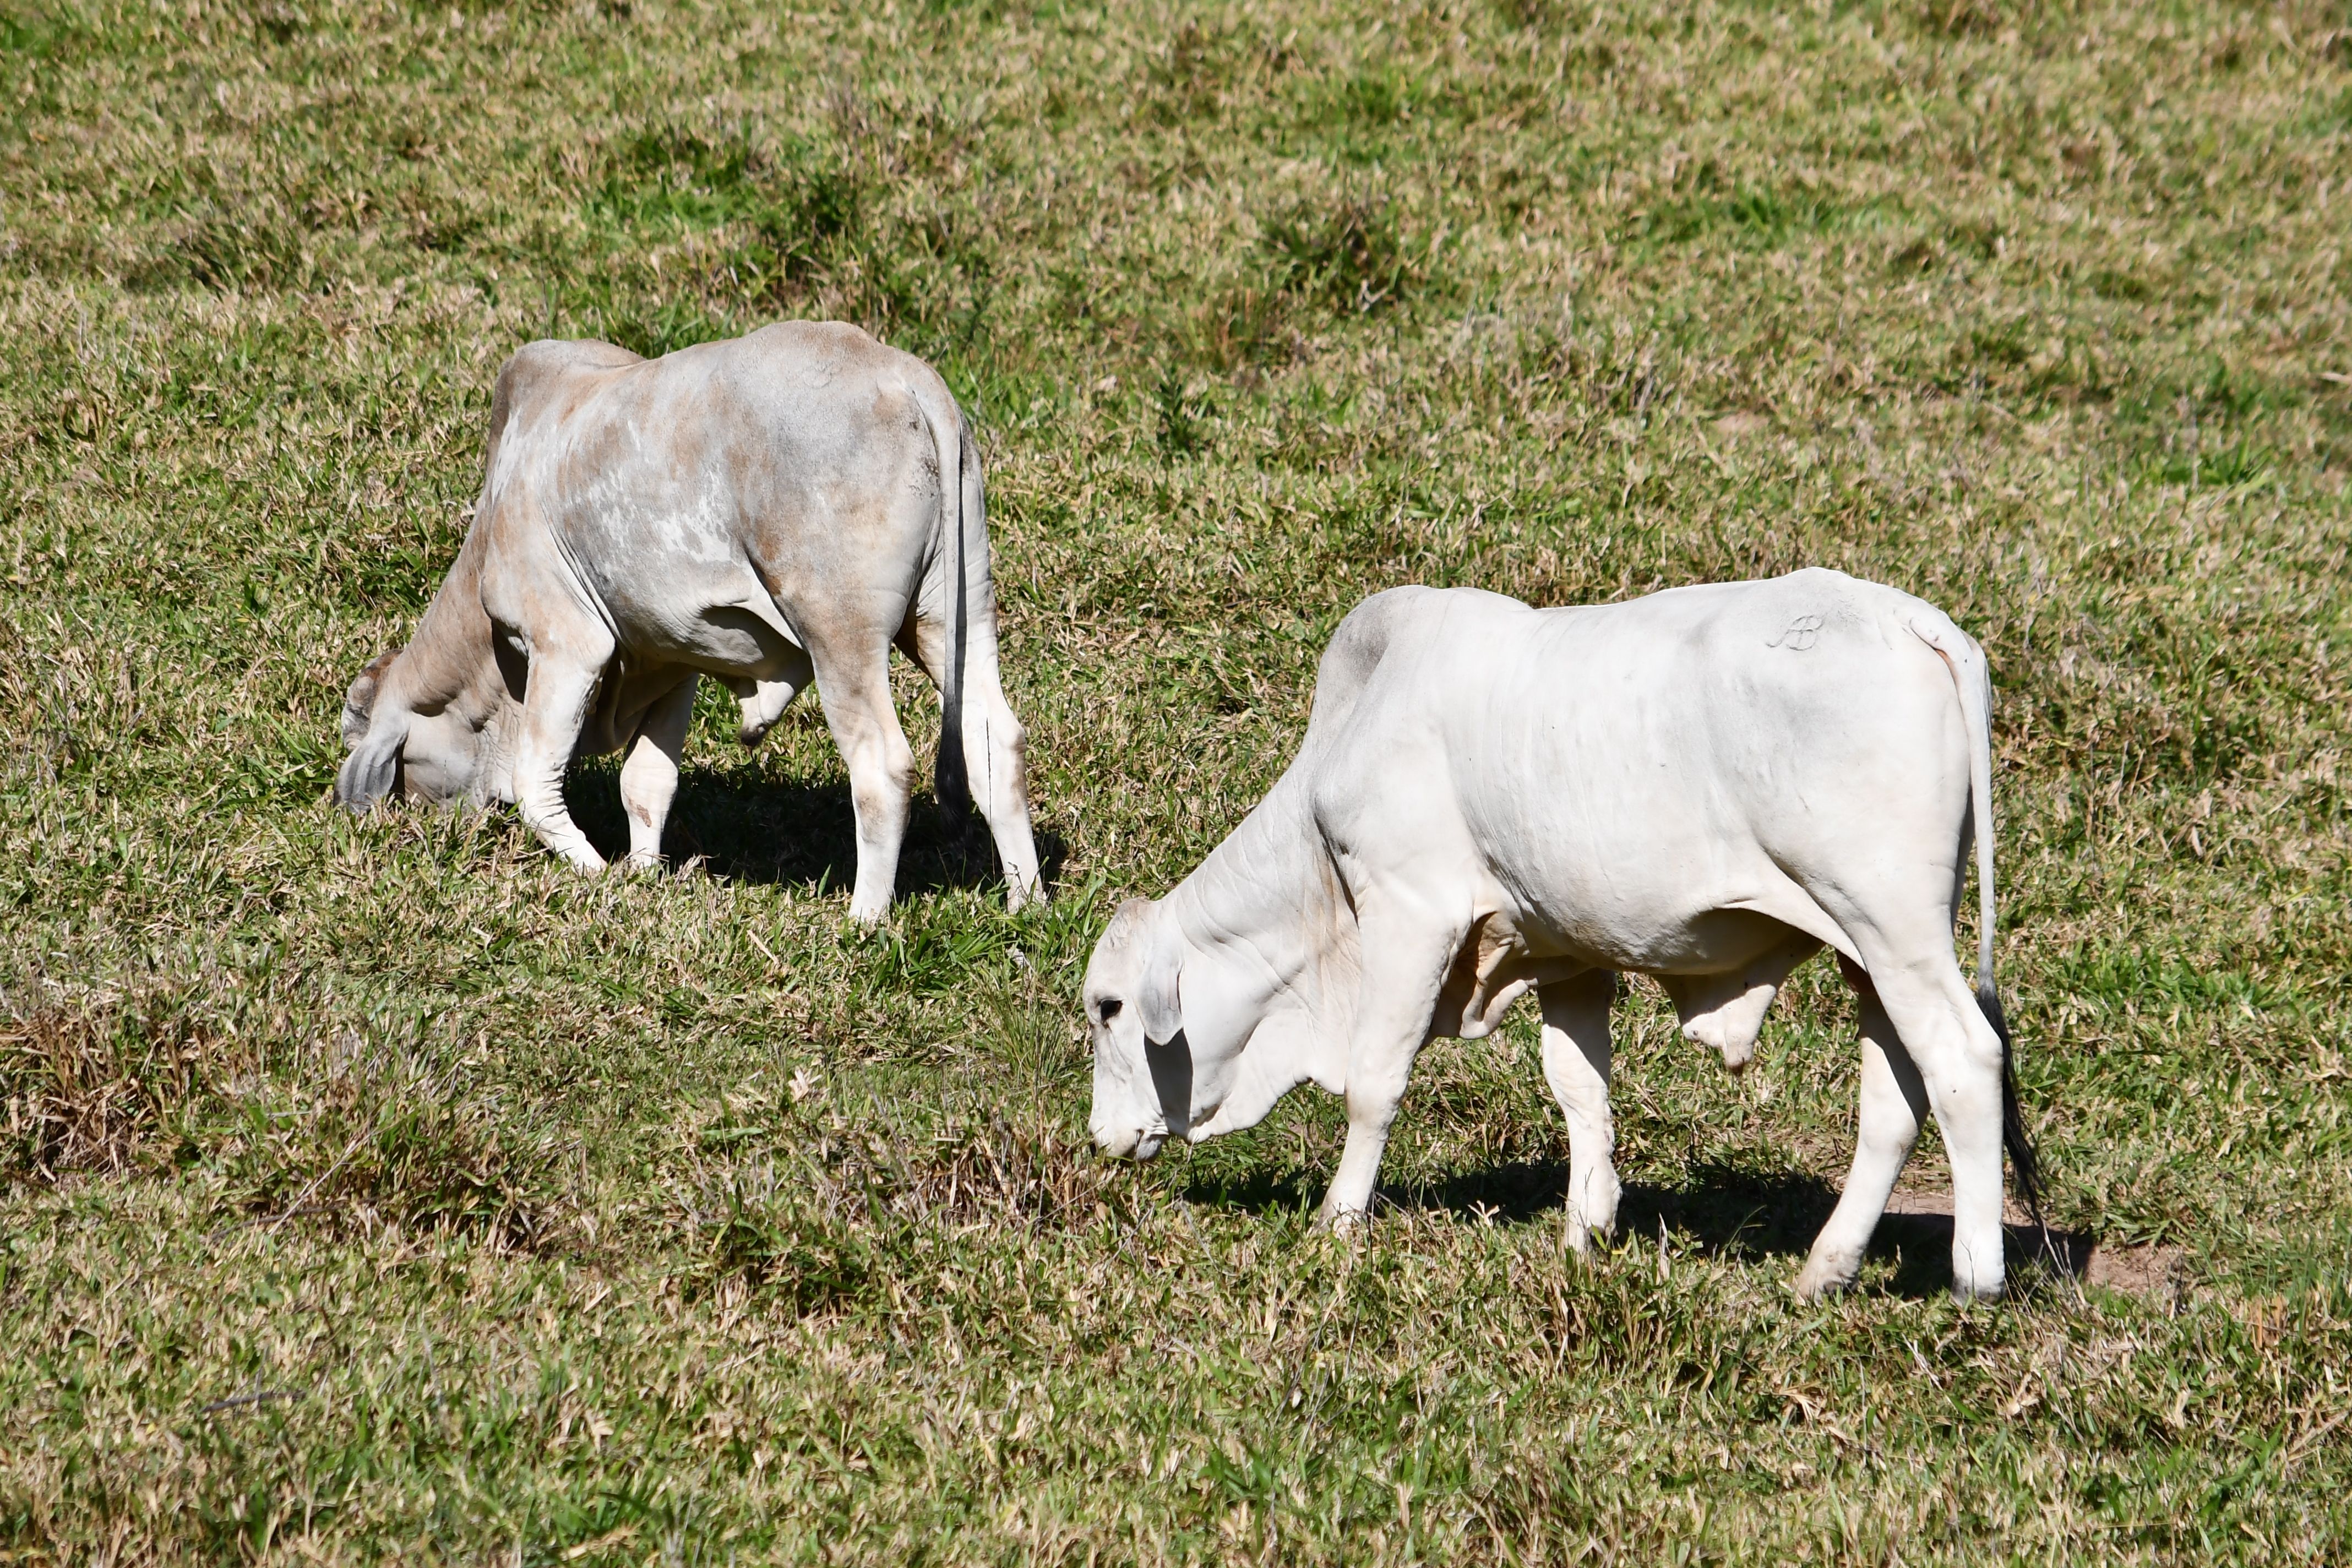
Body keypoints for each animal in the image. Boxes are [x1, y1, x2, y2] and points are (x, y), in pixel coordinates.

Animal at [335, 322, 1044, 923]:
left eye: (398, 759)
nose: (430, 828)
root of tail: (905, 376)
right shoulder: (671, 658)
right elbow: (647, 782)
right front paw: (643, 874)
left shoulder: (566, 641)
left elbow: (537, 782)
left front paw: (600, 874)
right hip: (955, 614)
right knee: (994, 740)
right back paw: (1027, 903)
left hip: (841, 630)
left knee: (884, 765)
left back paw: (864, 920)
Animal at [1084, 570, 2040, 1299]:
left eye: (1107, 1007)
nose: (1102, 1137)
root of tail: (1914, 621)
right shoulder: (1566, 951)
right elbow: (1582, 1090)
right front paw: (1586, 1230)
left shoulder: (1411, 911)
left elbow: (1374, 1084)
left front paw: (1338, 1223)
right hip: (1866, 949)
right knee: (1895, 1094)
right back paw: (1824, 1271)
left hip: (1890, 923)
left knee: (1964, 1060)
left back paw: (1975, 1280)